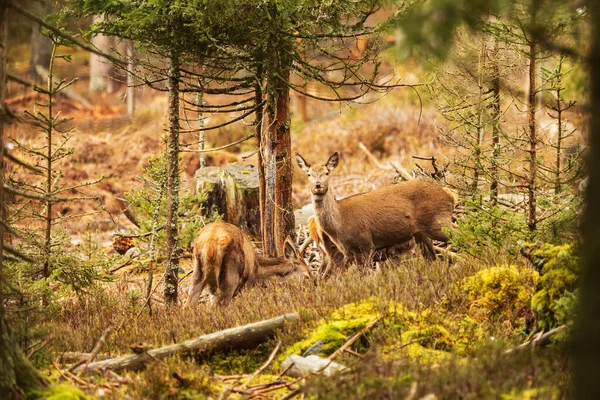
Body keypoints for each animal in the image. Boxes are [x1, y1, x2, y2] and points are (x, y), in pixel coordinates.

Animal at [296, 152, 460, 268]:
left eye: (327, 172)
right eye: (308, 174)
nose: (318, 185)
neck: (340, 221)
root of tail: (449, 194)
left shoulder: (365, 244)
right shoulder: (348, 252)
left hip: (438, 222)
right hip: (422, 233)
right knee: (432, 259)